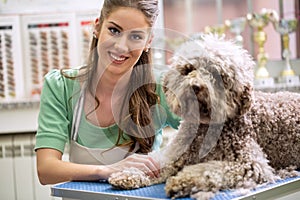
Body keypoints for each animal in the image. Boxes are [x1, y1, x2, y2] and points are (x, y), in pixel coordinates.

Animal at [108, 34, 300, 200]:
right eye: (188, 69)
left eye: (216, 73)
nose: (195, 86)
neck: (203, 128)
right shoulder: (176, 153)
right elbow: (157, 162)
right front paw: (129, 174)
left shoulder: (251, 164)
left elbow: (207, 169)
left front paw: (180, 181)